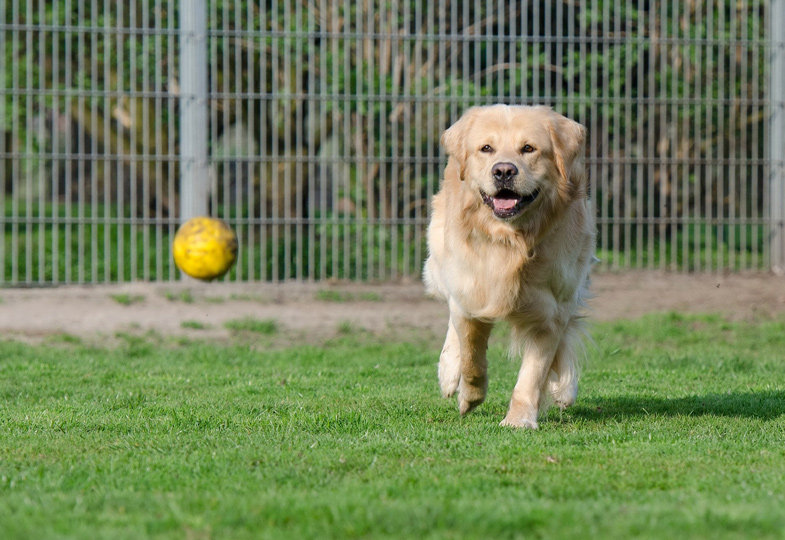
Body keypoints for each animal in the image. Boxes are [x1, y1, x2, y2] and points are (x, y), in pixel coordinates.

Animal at [422, 103, 596, 428]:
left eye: (528, 149)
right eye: (486, 149)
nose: (504, 170)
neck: (511, 241)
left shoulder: (551, 310)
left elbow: (533, 373)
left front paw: (519, 420)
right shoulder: (471, 294)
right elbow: (471, 357)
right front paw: (469, 397)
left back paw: (565, 387)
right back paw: (449, 373)